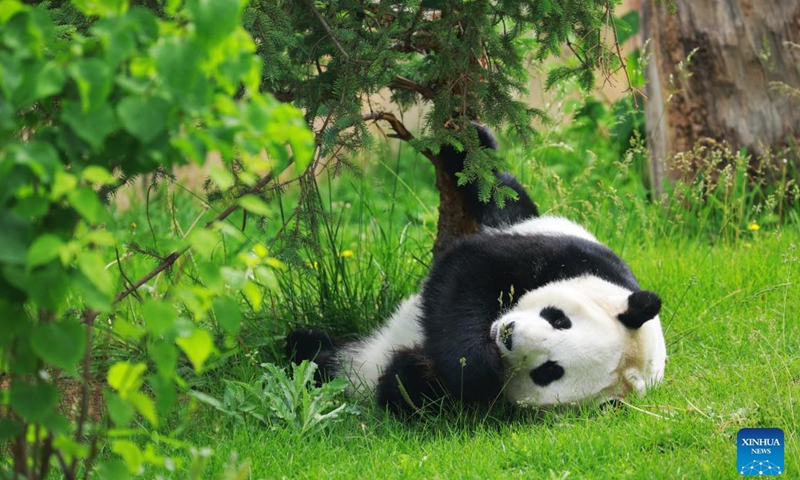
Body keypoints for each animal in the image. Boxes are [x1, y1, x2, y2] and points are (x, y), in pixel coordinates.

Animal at [284, 125, 664, 414]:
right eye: (558, 318)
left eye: (550, 371)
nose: (508, 334)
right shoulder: (570, 258)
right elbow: (469, 274)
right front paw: (475, 362)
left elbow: (419, 390)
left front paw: (418, 371)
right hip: (526, 219)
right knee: (499, 191)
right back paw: (467, 143)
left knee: (331, 365)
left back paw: (308, 350)